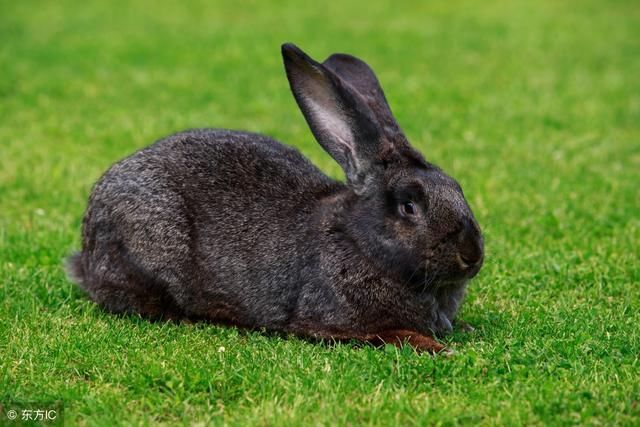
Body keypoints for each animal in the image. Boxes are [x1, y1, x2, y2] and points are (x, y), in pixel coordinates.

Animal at [66, 42, 484, 354]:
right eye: (408, 206)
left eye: (457, 188)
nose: (472, 256)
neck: (358, 241)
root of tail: (85, 251)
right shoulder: (329, 321)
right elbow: (388, 334)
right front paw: (436, 346)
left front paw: (464, 329)